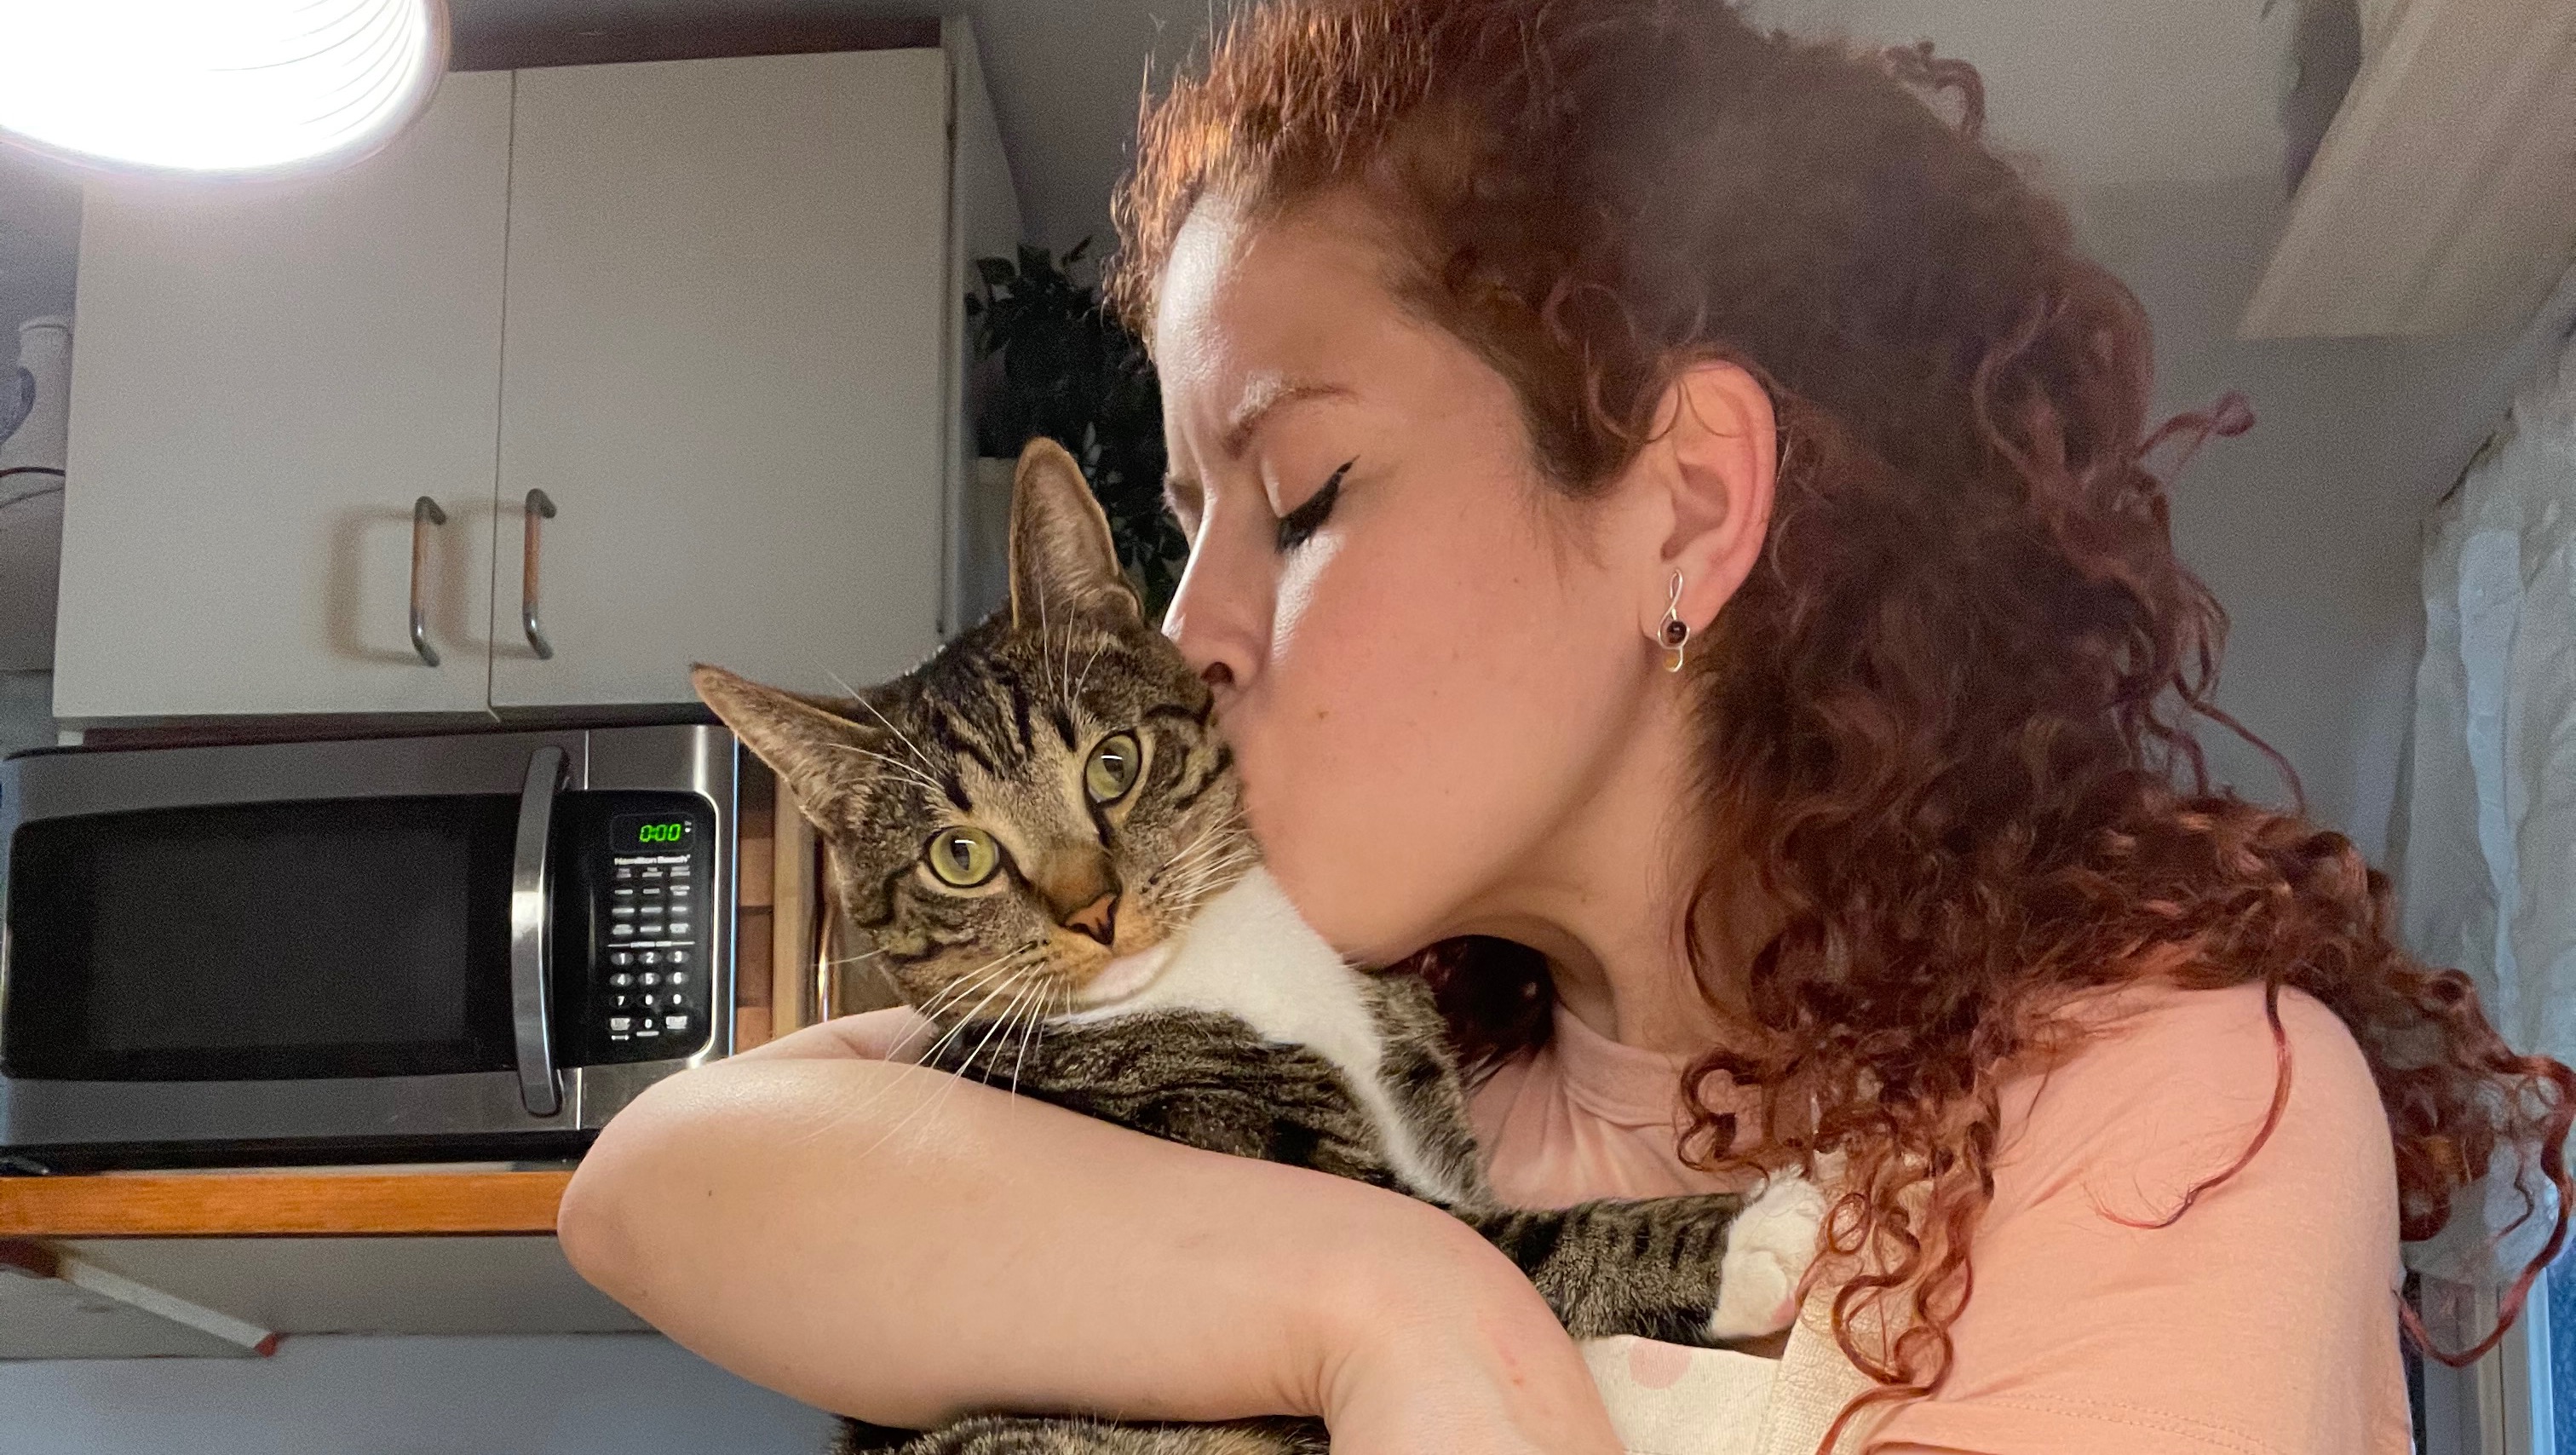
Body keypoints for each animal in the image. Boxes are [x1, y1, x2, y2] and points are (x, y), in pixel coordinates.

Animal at [692, 438, 1823, 1455]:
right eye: (960, 854)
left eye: (1113, 764)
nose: (1093, 910)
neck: (1230, 967)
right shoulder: (1277, 1173)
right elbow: (1504, 1246)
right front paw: (1744, 1235)